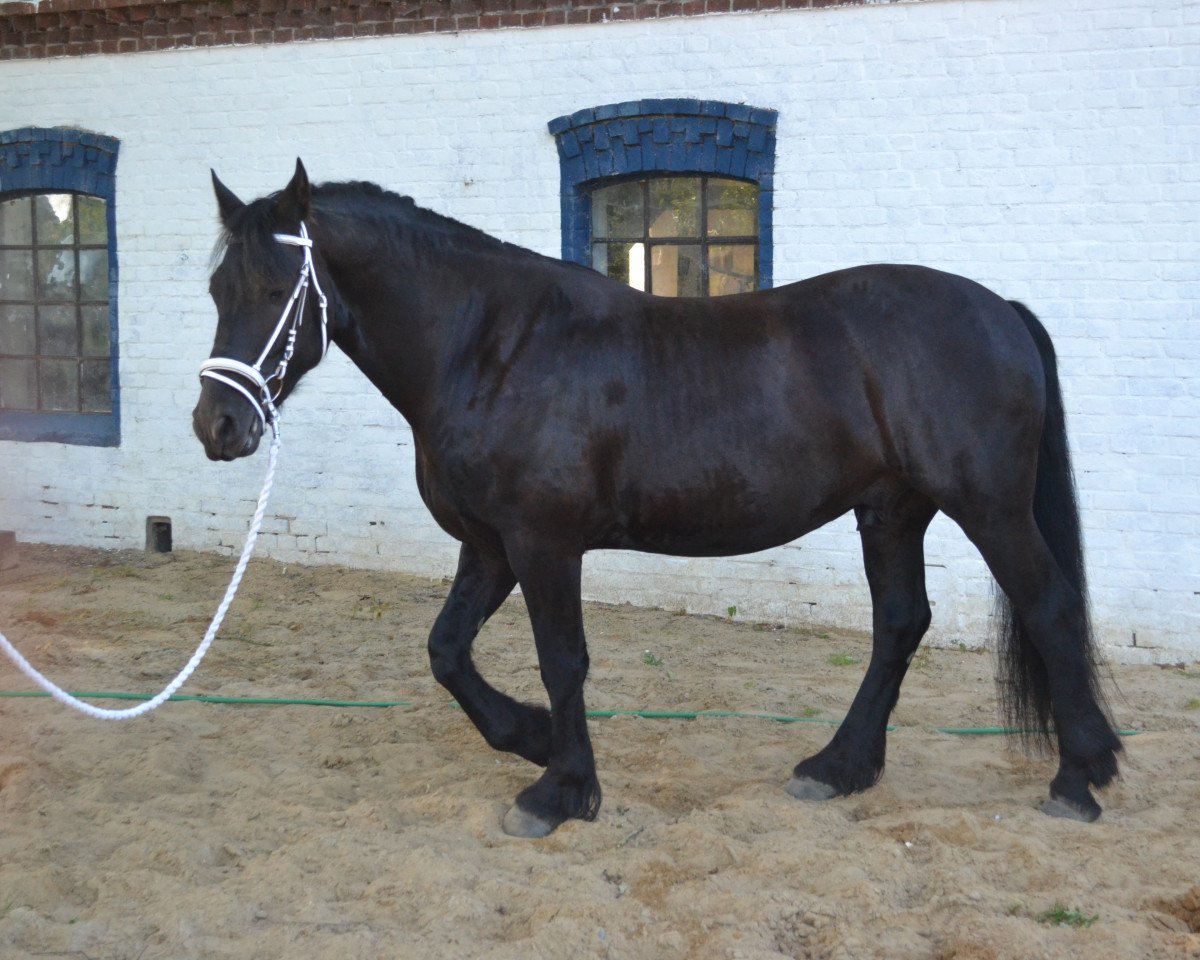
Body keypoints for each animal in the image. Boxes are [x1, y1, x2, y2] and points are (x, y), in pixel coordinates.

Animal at [193, 160, 1121, 838]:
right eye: (216, 291)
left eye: (277, 291)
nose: (217, 425)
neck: (491, 348)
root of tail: (999, 309)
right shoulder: (489, 546)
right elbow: (446, 652)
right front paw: (532, 739)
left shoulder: (542, 543)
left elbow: (562, 658)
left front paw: (561, 789)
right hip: (891, 510)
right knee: (899, 623)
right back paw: (838, 768)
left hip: (988, 507)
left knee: (1048, 605)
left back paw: (1077, 778)